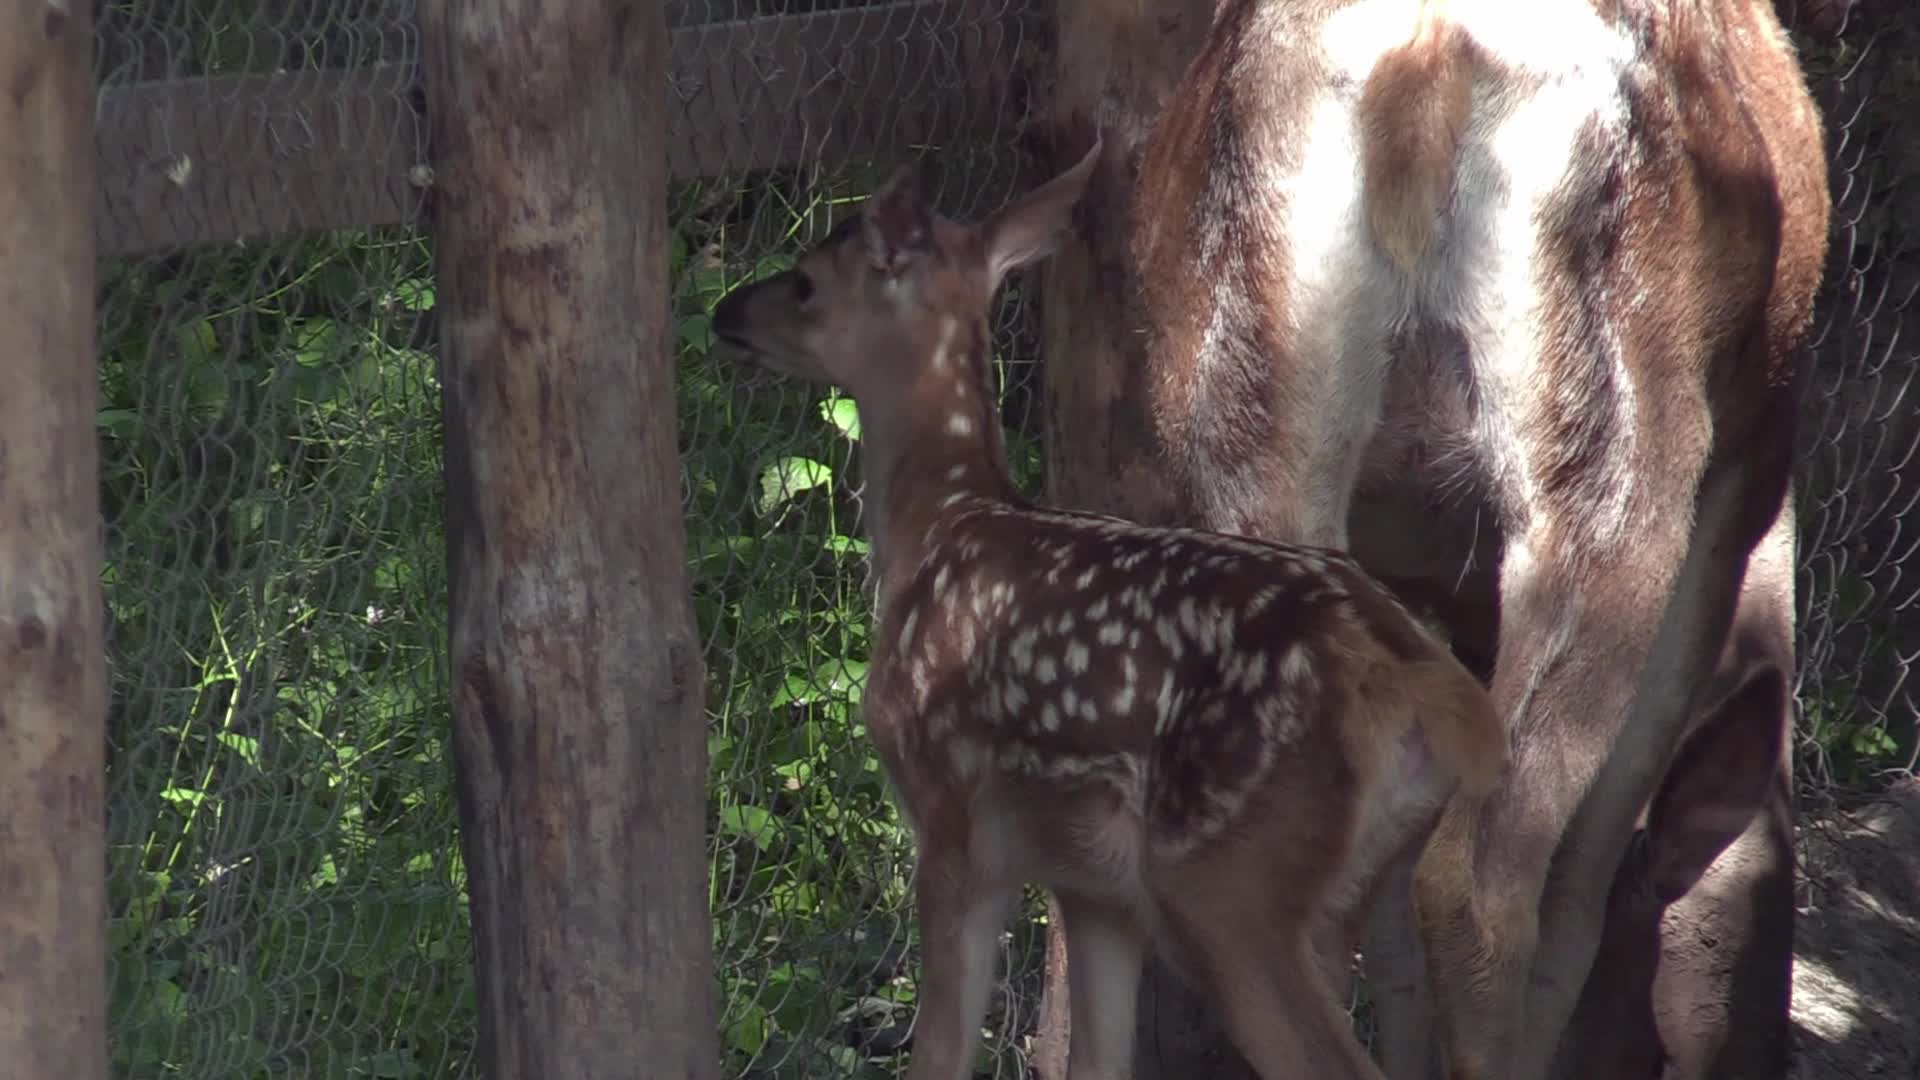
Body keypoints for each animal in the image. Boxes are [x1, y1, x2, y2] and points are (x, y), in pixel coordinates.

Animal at [708, 140, 1509, 1080]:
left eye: (805, 282)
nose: (726, 311)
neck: (941, 530)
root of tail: (1419, 681)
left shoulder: (952, 818)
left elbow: (940, 1051)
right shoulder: (1093, 888)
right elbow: (1096, 1058)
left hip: (1229, 875)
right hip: (1369, 883)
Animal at [1029, 0, 1830, 1077]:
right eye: (1653, 1053)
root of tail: (1421, 60)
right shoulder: (1746, 478)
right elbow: (1581, 878)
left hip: (1251, 438)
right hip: (1619, 461)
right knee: (1478, 883)